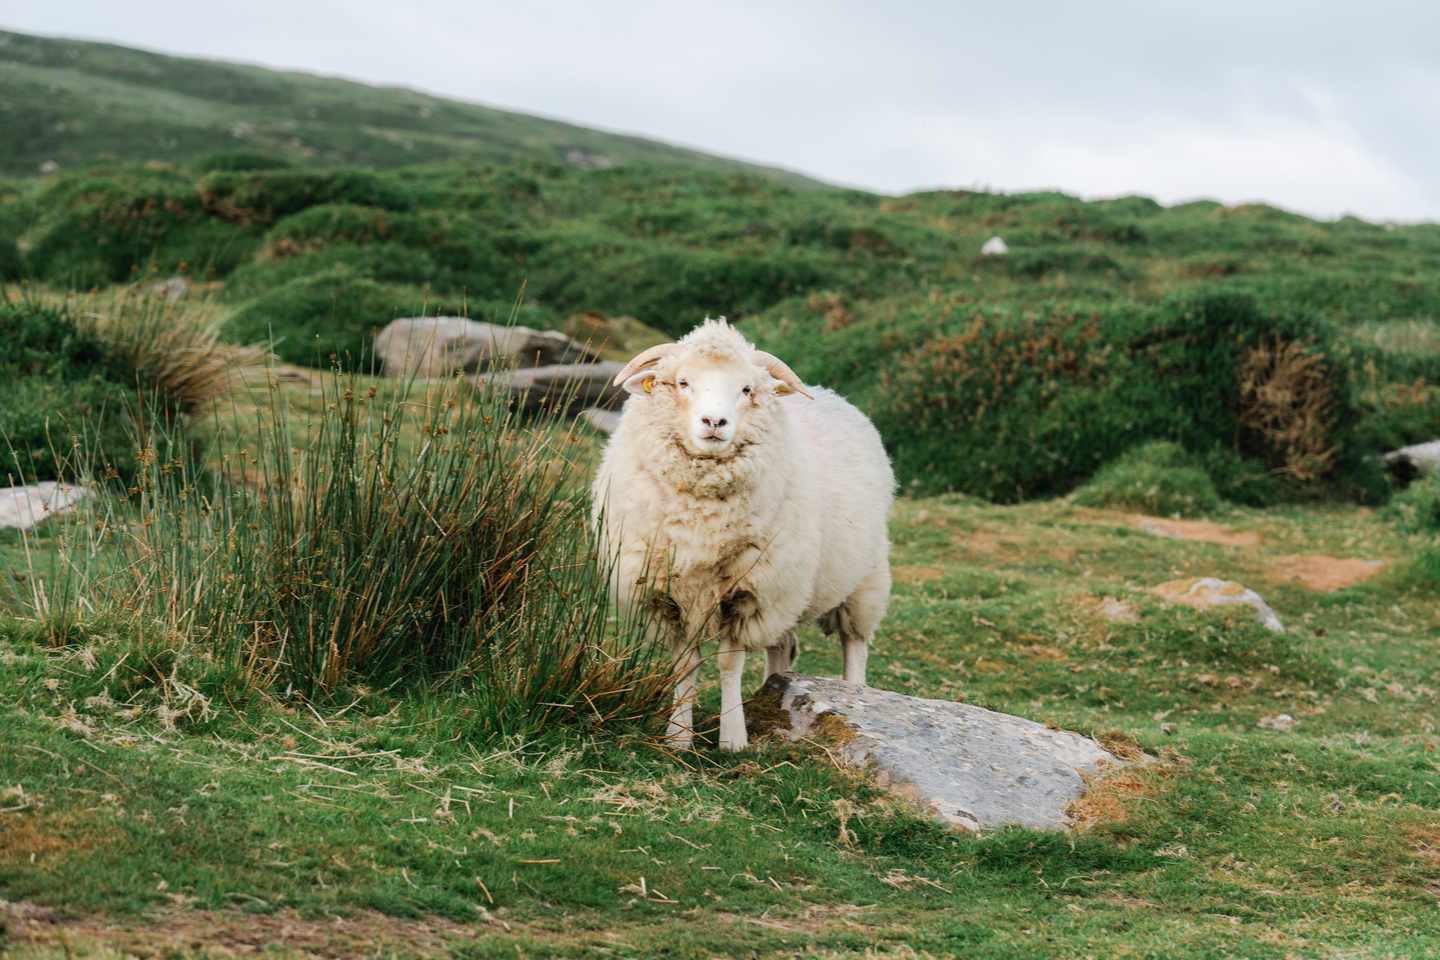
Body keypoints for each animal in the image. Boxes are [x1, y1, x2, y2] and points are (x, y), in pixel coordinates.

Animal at [591, 318, 894, 751]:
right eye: (683, 382)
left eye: (746, 389)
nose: (714, 423)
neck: (701, 515)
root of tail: (830, 393)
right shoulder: (671, 595)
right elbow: (685, 664)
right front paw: (678, 737)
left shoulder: (743, 594)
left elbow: (728, 663)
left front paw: (732, 738)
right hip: (788, 588)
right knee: (784, 646)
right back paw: (774, 692)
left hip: (863, 579)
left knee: (854, 644)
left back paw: (853, 695)